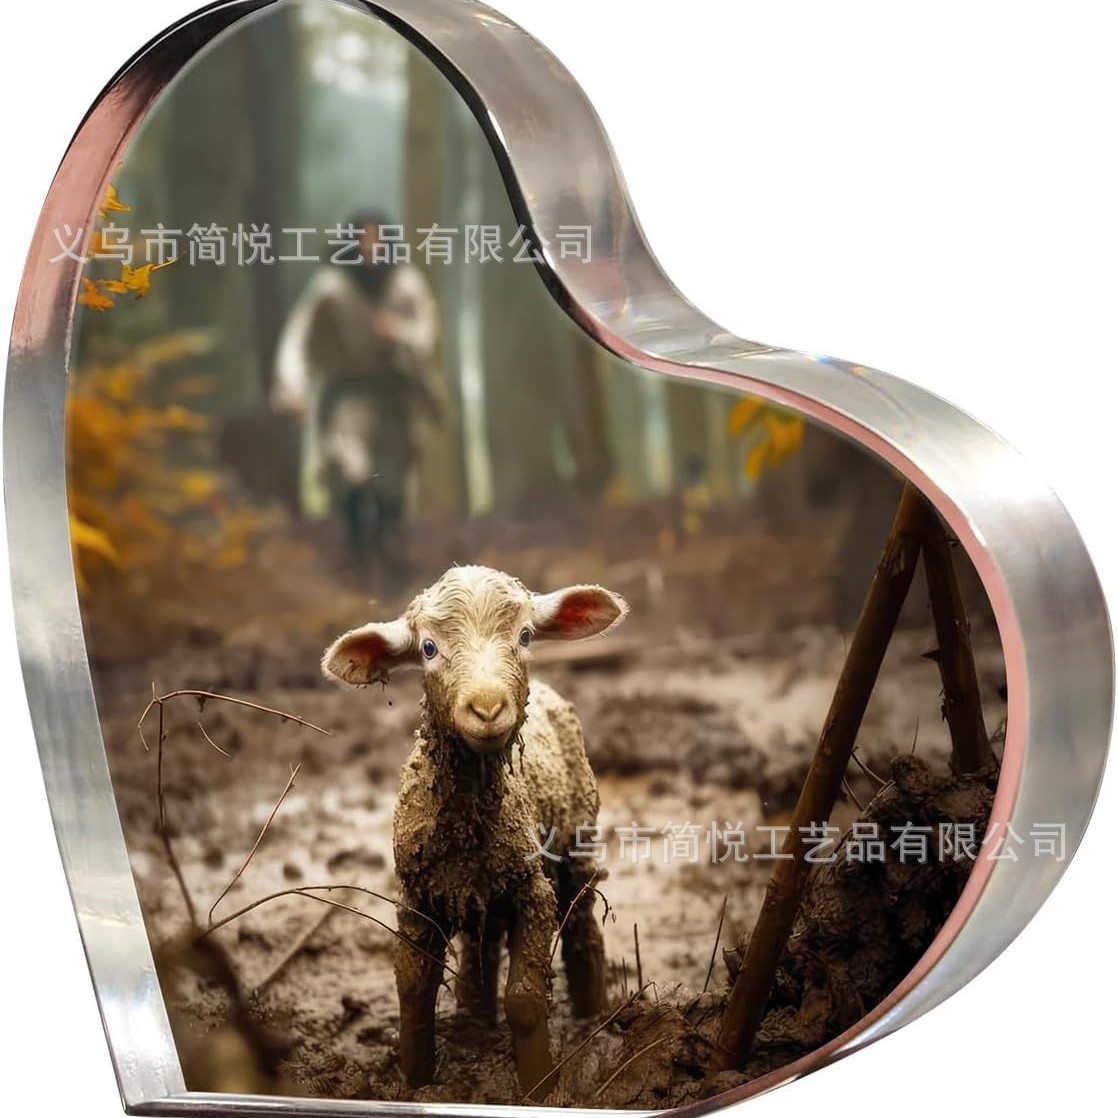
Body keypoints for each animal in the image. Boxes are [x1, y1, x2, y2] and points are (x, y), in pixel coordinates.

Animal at [321, 565, 628, 1098]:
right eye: (428, 647)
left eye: (525, 636)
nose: (486, 708)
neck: (468, 825)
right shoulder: (417, 894)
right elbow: (412, 989)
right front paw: (416, 1080)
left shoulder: (532, 891)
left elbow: (524, 1000)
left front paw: (539, 1087)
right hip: (479, 888)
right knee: (481, 945)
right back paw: (475, 1018)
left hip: (577, 839)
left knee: (582, 923)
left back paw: (593, 1014)